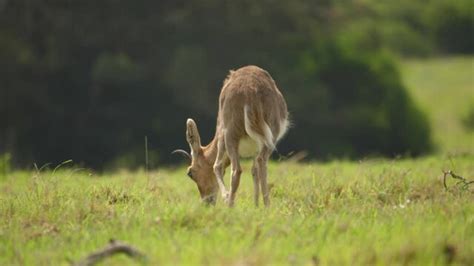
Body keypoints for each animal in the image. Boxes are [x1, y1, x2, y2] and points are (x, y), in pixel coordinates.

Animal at [172, 65, 286, 207]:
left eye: (190, 173)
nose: (207, 202)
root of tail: (251, 90)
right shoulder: (256, 148)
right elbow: (254, 171)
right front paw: (255, 206)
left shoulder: (222, 136)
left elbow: (217, 166)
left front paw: (226, 198)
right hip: (271, 138)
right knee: (261, 163)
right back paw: (267, 206)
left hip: (230, 136)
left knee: (235, 170)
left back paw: (230, 204)